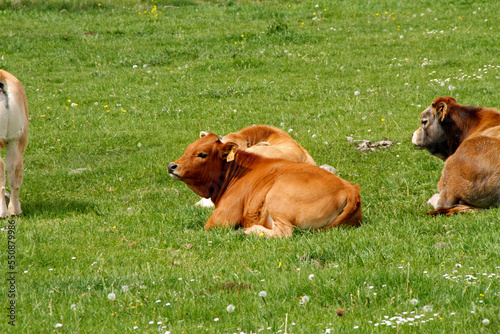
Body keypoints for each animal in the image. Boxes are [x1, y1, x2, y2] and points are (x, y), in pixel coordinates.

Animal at [170, 132, 362, 236]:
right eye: (187, 149)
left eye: (202, 154)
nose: (171, 166)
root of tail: (350, 188)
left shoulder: (221, 217)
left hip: (278, 198)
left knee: (283, 232)